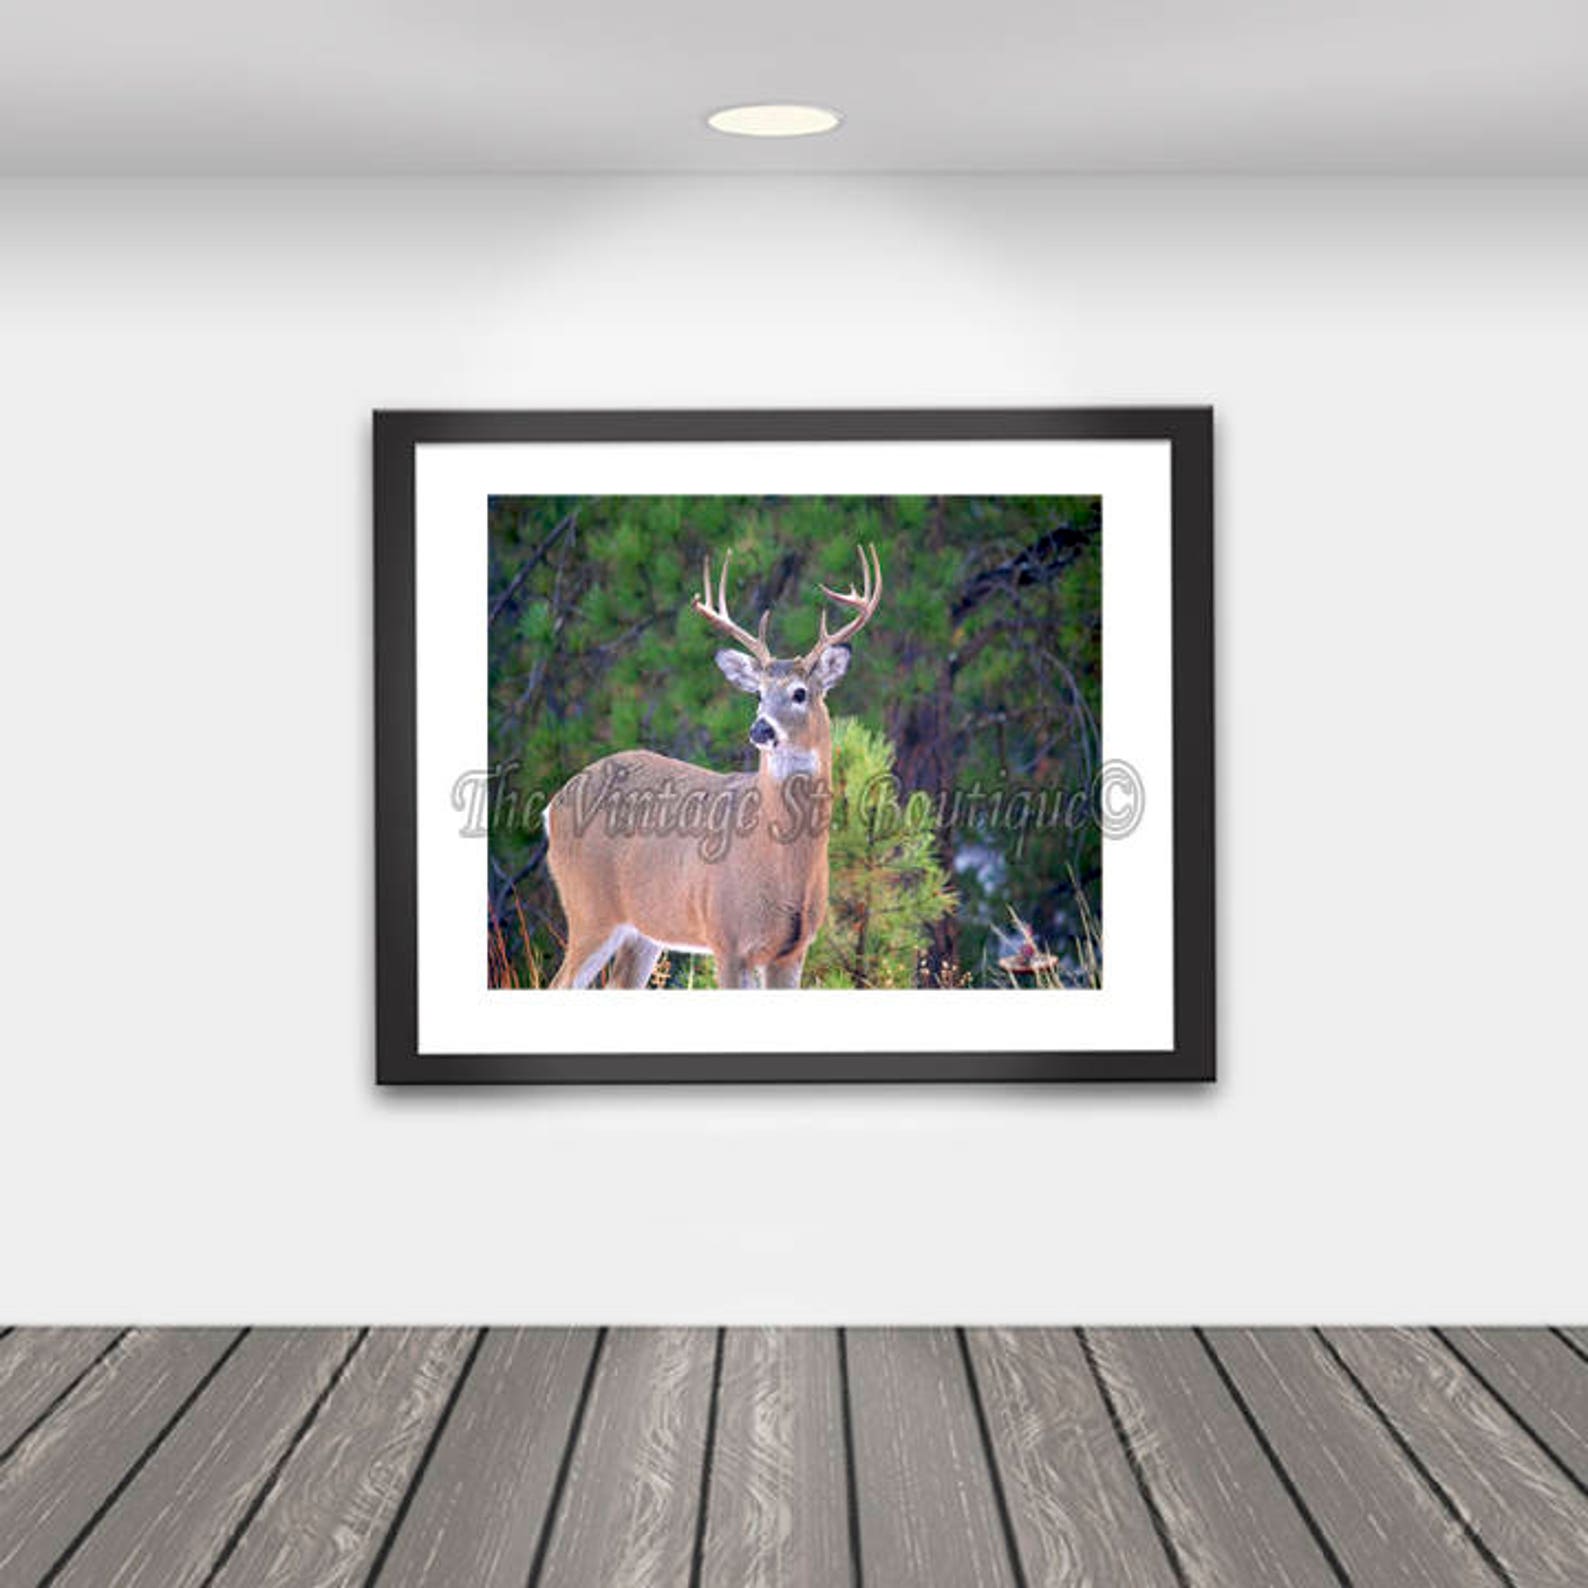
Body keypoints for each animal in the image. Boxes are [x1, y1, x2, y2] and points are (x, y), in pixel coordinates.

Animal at [543, 544, 882, 989]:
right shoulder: (728, 937)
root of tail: (552, 806)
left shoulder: (792, 950)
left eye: (800, 693)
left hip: (644, 929)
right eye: (758, 693)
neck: (779, 859)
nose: (760, 728)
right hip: (589, 909)